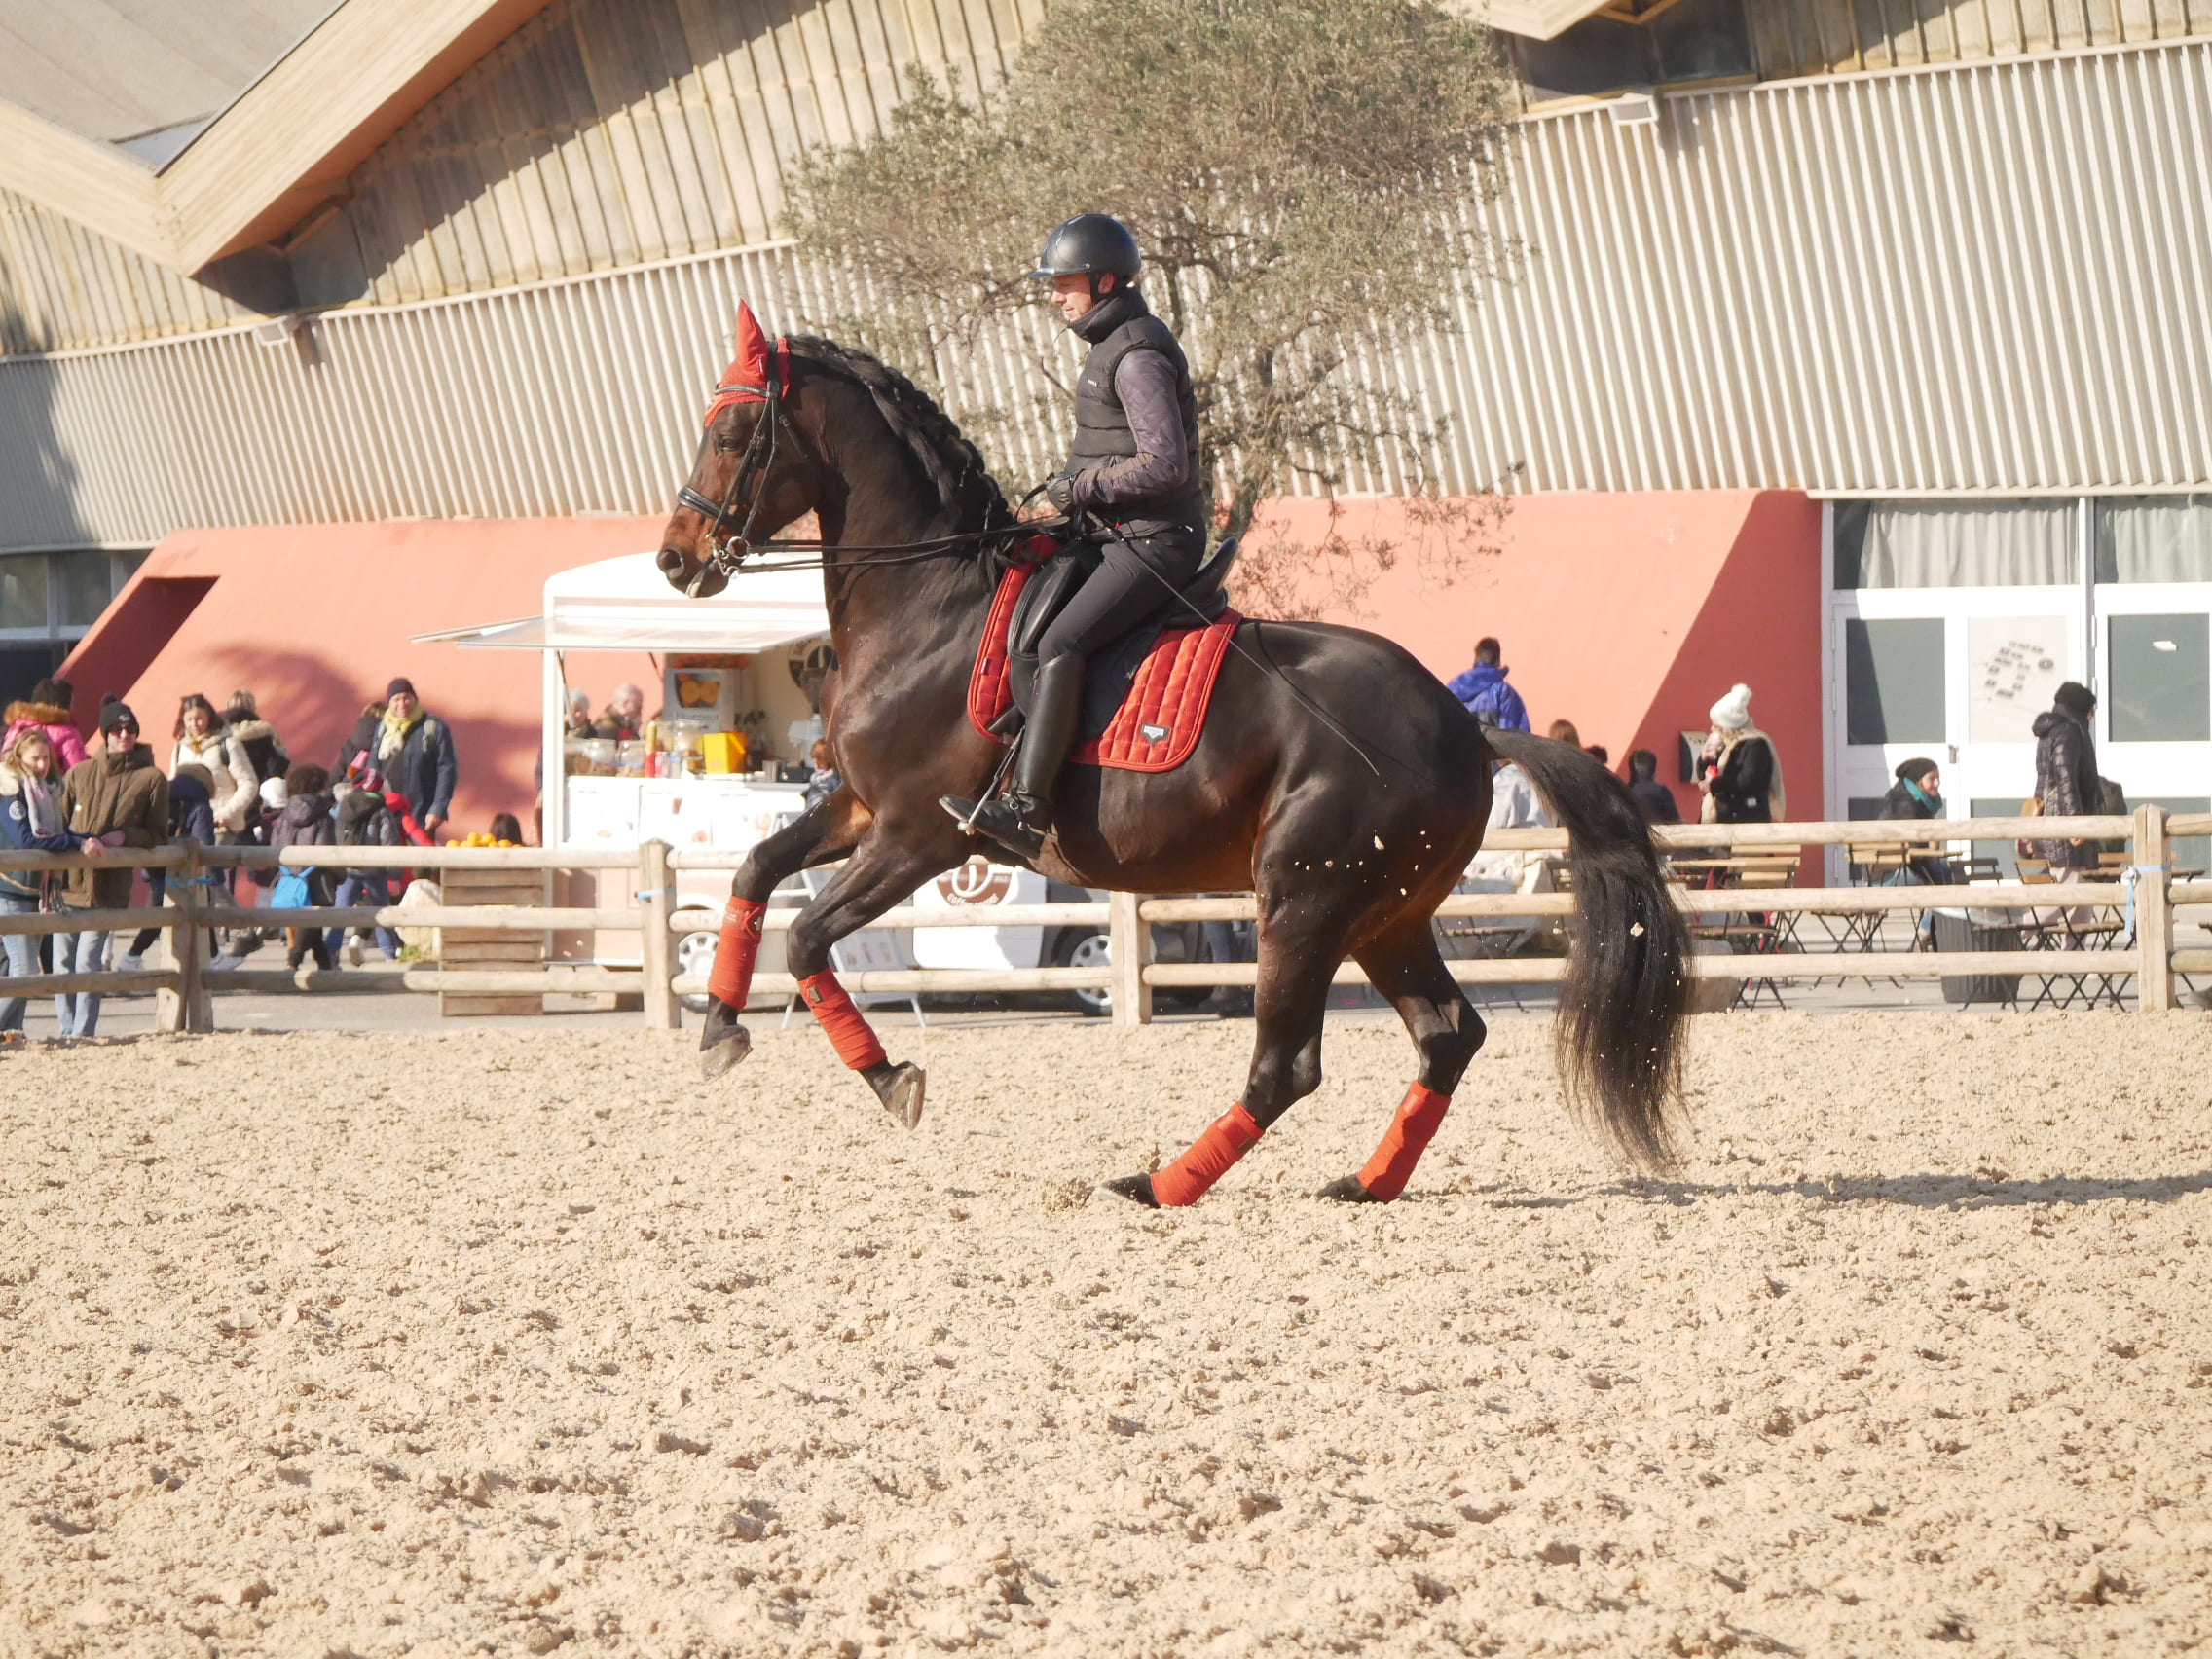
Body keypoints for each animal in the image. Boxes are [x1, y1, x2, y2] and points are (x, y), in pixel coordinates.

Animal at [654, 318, 1689, 1206]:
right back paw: (1366, 1182)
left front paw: (890, 1075)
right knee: (1445, 1035)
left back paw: (1159, 1185)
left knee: (1287, 1066)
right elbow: (755, 873)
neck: (930, 608)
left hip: (1304, 902)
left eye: (734, 432)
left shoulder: (920, 837)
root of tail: (1464, 726)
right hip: (1385, 915)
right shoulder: (860, 811)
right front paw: (718, 1027)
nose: (675, 560)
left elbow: (808, 937)